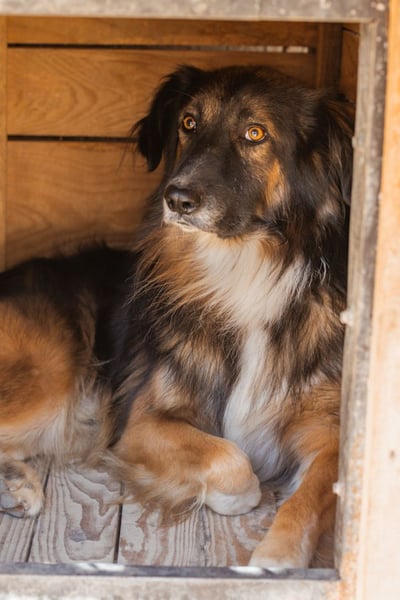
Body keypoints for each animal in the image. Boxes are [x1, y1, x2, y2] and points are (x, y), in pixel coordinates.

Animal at [0, 65, 353, 569]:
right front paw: (235, 497)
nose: (177, 198)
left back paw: (14, 486)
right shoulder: (141, 423)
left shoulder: (330, 434)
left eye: (255, 133)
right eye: (188, 123)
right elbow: (234, 462)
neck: (242, 265)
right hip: (47, 377)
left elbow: (310, 498)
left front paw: (278, 559)